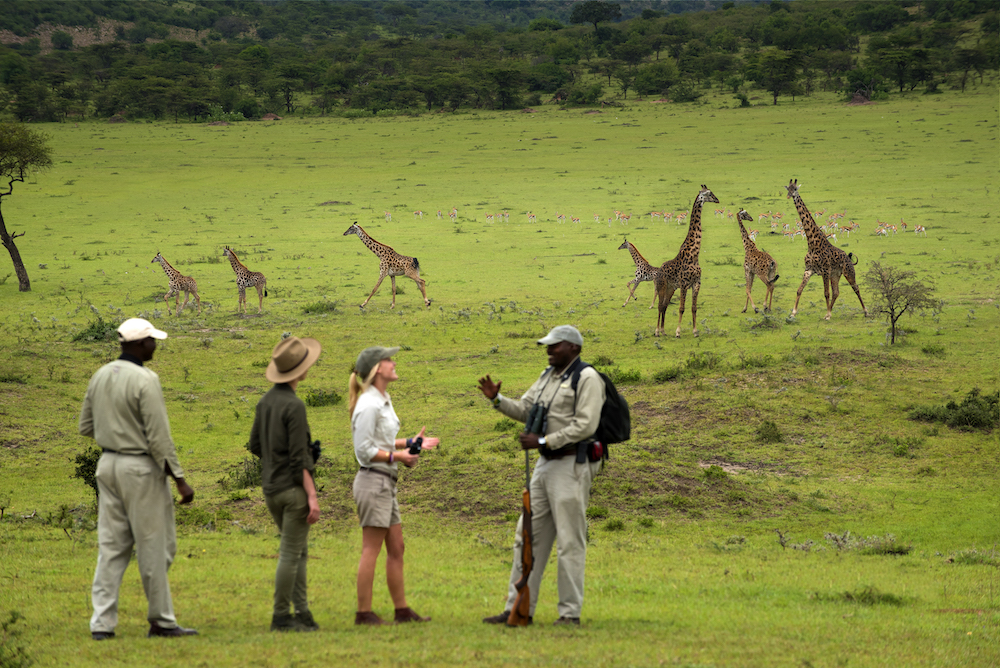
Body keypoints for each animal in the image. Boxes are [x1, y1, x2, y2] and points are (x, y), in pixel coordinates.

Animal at [652, 184, 724, 336]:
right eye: (709, 193)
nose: (717, 199)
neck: (694, 254)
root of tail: (658, 271)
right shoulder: (684, 284)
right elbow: (681, 308)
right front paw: (678, 332)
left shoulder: (696, 283)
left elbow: (693, 308)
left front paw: (695, 331)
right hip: (661, 286)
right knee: (660, 306)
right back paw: (657, 331)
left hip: (671, 288)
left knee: (665, 305)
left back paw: (663, 330)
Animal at [788, 179, 868, 320]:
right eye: (788, 188)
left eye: (795, 189)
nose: (789, 195)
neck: (812, 243)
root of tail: (848, 257)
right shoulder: (808, 269)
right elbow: (799, 290)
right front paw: (793, 313)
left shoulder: (824, 270)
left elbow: (826, 293)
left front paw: (828, 315)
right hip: (835, 274)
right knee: (836, 292)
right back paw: (829, 311)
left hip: (848, 272)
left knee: (856, 288)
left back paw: (865, 311)